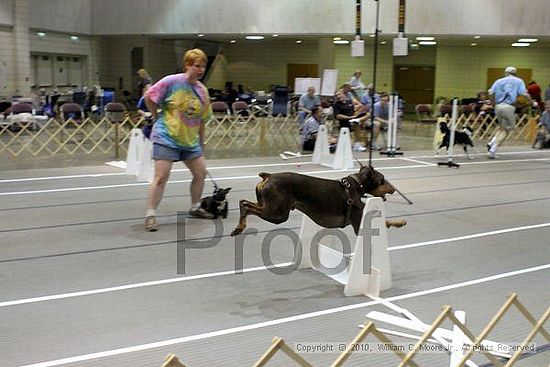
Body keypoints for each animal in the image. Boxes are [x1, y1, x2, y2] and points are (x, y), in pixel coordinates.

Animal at [231, 165, 404, 237]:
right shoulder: (358, 224)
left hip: (268, 207)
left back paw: (238, 228)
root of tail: (268, 176)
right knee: (246, 206)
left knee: (243, 202)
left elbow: (386, 222)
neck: (357, 185)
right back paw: (239, 228)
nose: (394, 188)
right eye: (383, 179)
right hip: (277, 214)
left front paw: (399, 222)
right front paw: (399, 223)